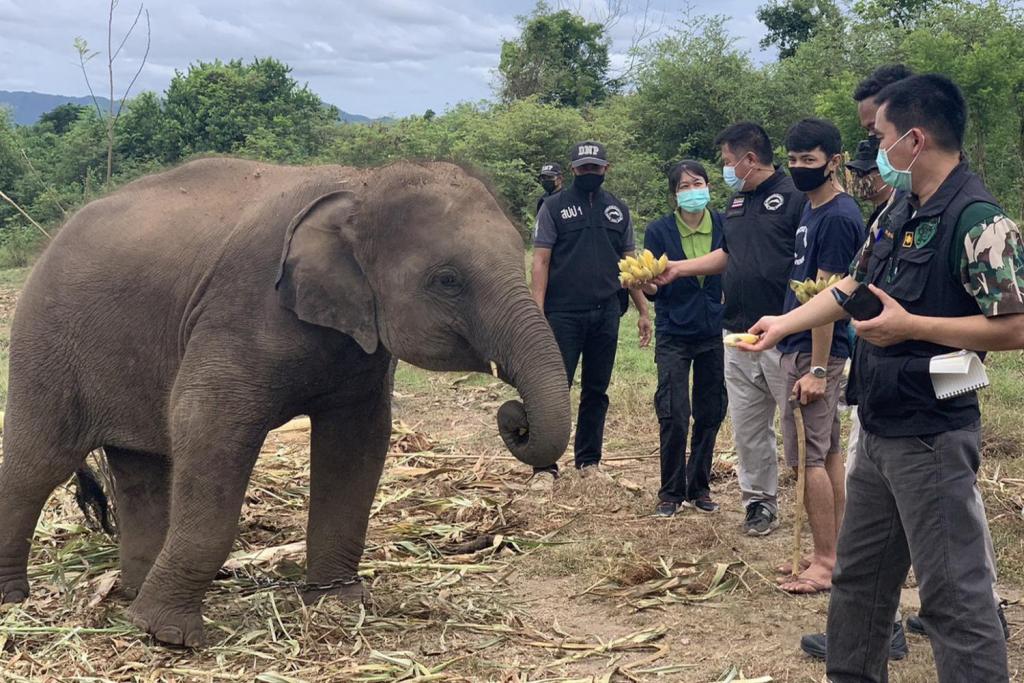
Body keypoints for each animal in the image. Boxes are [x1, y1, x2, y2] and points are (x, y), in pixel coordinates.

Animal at [0, 157, 570, 647]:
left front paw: (339, 604)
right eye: (447, 280)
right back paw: (17, 599)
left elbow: (359, 441)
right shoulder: (241, 306)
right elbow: (206, 426)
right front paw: (169, 637)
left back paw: (133, 595)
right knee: (36, 466)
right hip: (45, 340)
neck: (361, 185)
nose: (515, 418)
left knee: (141, 469)